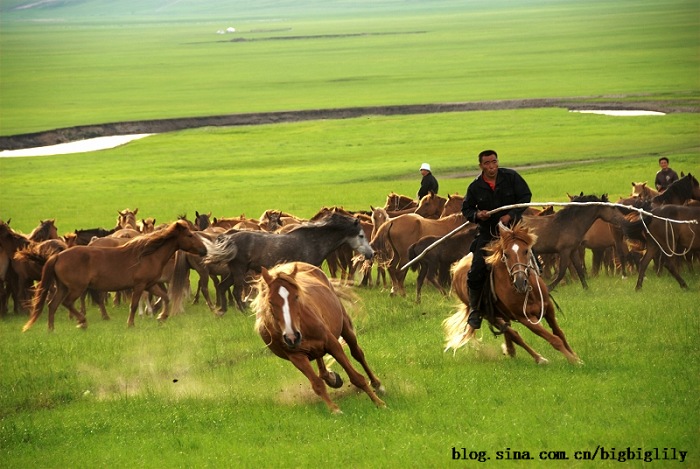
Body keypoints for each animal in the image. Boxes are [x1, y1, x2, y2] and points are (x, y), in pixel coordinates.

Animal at [22, 219, 208, 330]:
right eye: (190, 235)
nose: (204, 250)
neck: (149, 254)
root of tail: (58, 255)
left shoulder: (150, 284)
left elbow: (165, 297)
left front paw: (162, 317)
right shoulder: (139, 285)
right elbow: (134, 305)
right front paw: (131, 323)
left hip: (62, 287)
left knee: (52, 305)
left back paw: (51, 329)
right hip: (76, 288)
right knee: (67, 303)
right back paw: (82, 322)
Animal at [205, 211, 374, 312]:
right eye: (361, 235)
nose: (371, 253)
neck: (312, 242)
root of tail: (229, 238)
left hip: (235, 271)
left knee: (222, 287)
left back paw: (222, 311)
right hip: (239, 270)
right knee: (235, 291)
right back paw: (243, 311)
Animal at [252, 264, 386, 414]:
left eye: (296, 296)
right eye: (270, 301)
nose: (292, 337)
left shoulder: (332, 343)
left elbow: (356, 377)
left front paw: (379, 403)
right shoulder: (296, 356)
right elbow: (317, 384)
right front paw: (334, 410)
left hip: (345, 326)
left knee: (357, 353)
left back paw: (377, 384)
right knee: (320, 362)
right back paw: (332, 378)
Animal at [446, 223, 584, 366]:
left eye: (526, 251)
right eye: (506, 254)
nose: (520, 281)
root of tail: (456, 268)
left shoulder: (548, 308)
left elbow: (559, 333)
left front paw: (576, 357)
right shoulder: (525, 318)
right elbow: (554, 339)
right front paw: (573, 360)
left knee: (509, 332)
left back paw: (511, 350)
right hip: (488, 316)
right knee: (515, 335)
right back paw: (538, 358)